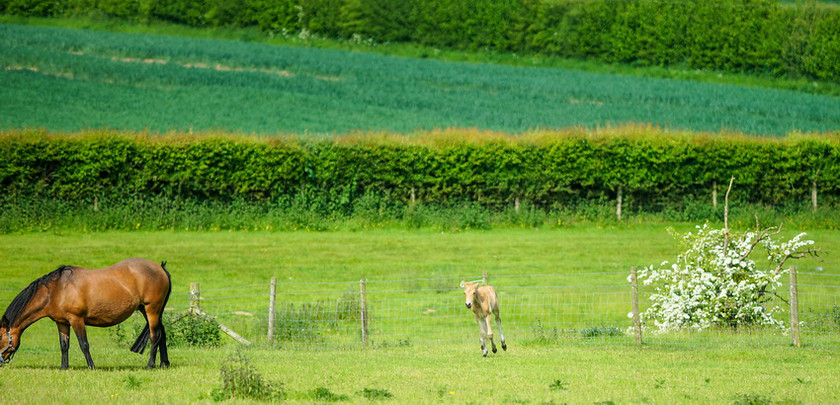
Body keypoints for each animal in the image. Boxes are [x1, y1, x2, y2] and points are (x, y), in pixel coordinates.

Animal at [0, 258, 171, 368]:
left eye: (0, 337)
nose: (0, 362)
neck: (56, 290)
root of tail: (160, 268)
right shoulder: (62, 323)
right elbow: (64, 345)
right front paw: (64, 368)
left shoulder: (77, 320)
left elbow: (84, 345)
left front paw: (91, 367)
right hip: (147, 310)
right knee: (162, 333)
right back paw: (164, 364)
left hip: (152, 309)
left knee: (154, 336)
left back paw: (150, 365)